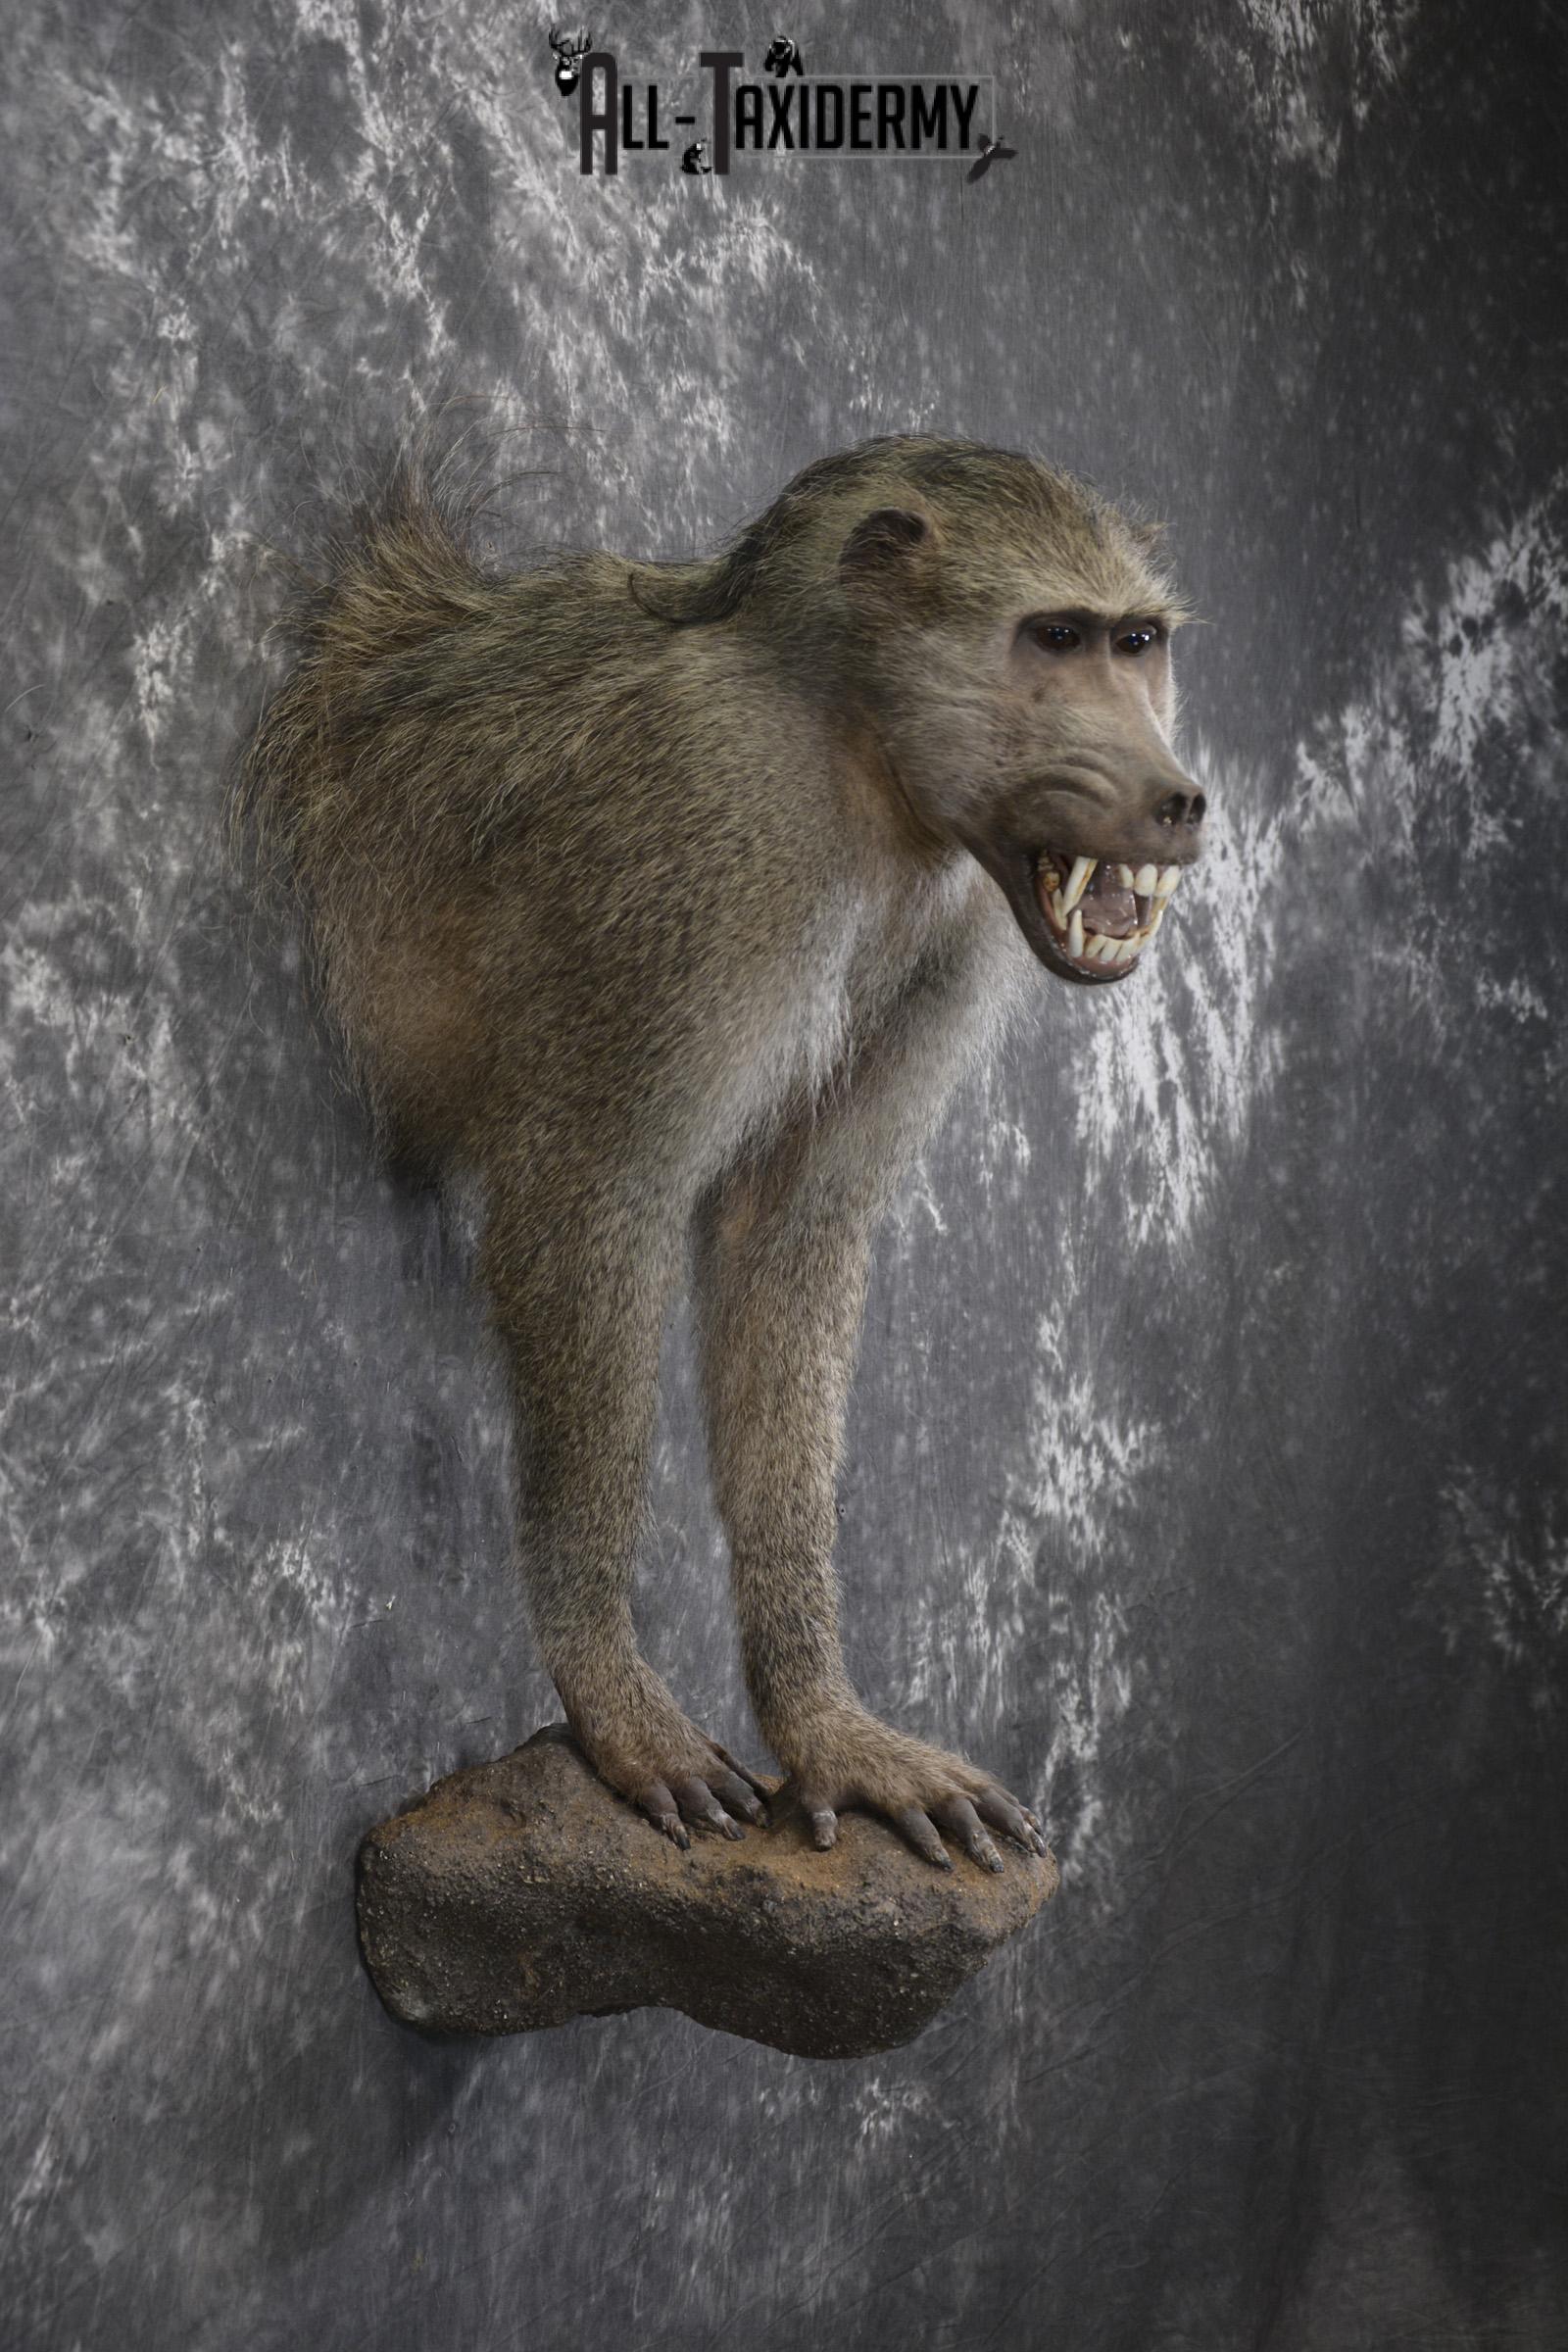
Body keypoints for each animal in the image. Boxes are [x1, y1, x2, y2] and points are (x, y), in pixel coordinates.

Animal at [236, 434, 1205, 1872]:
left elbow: (784, 1239)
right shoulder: (710, 832)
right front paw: (612, 1698)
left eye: (1137, 642)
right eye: (1056, 638)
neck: (847, 734)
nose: (1176, 796)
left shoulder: (953, 927)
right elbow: (595, 1197)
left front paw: (826, 1729)